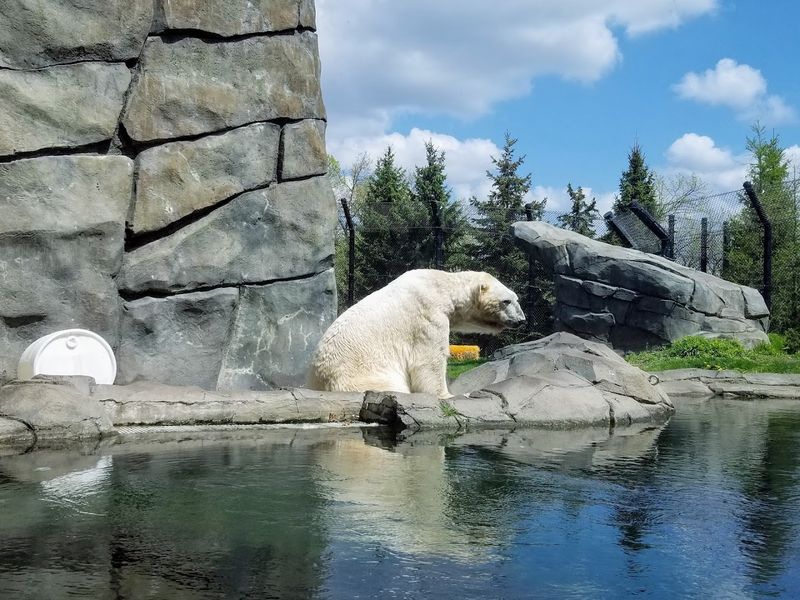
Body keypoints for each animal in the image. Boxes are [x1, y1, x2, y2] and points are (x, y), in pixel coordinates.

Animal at [307, 269, 526, 399]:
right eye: (506, 301)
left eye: (516, 299)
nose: (521, 320)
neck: (442, 286)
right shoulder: (428, 315)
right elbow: (429, 361)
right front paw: (449, 395)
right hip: (364, 377)